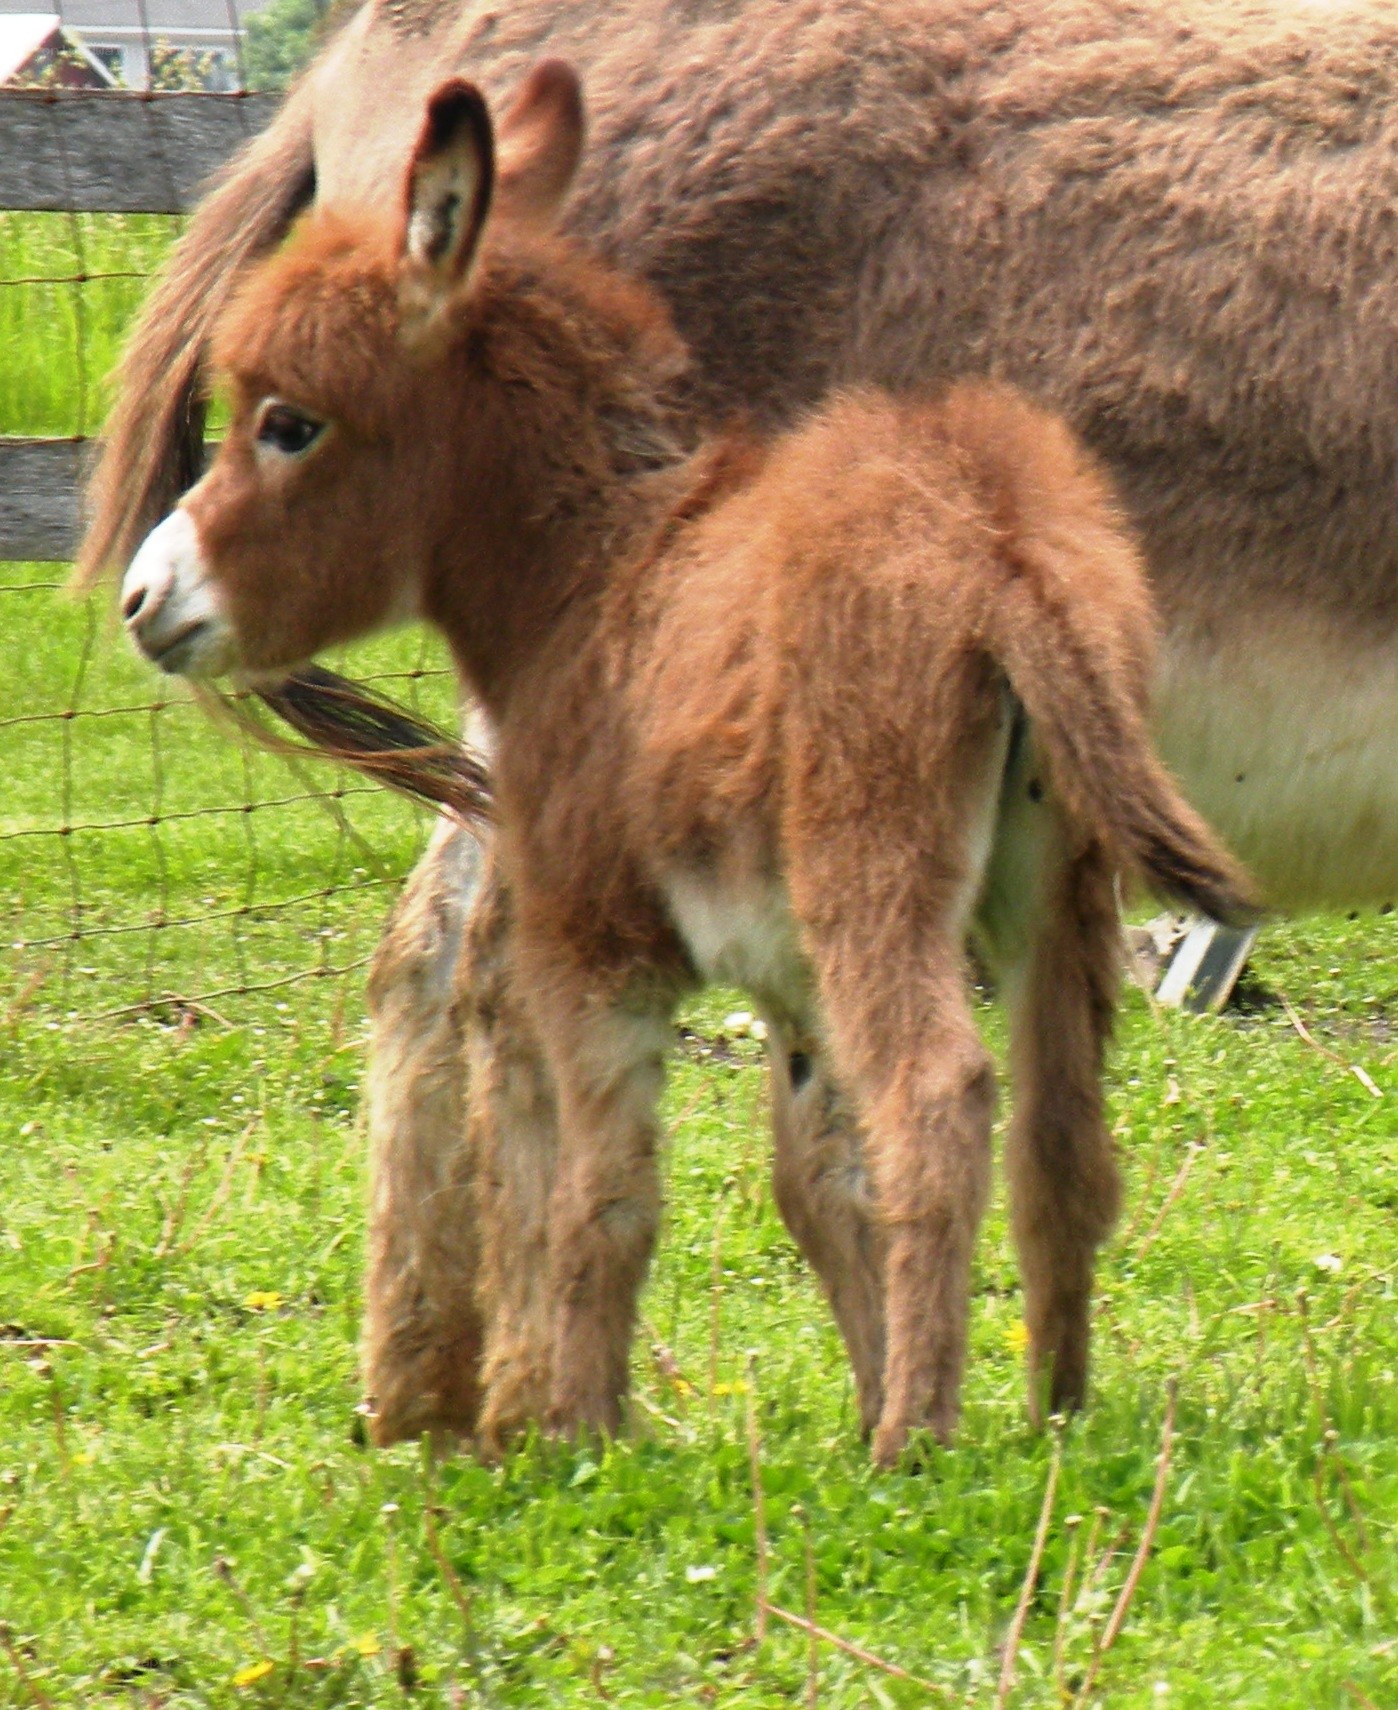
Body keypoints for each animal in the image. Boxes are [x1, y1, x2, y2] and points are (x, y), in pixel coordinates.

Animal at [80, 0, 1398, 1445]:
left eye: (289, 423)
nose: (147, 596)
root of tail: (377, 39)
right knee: (488, 983)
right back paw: (542, 1407)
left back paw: (447, 1399)